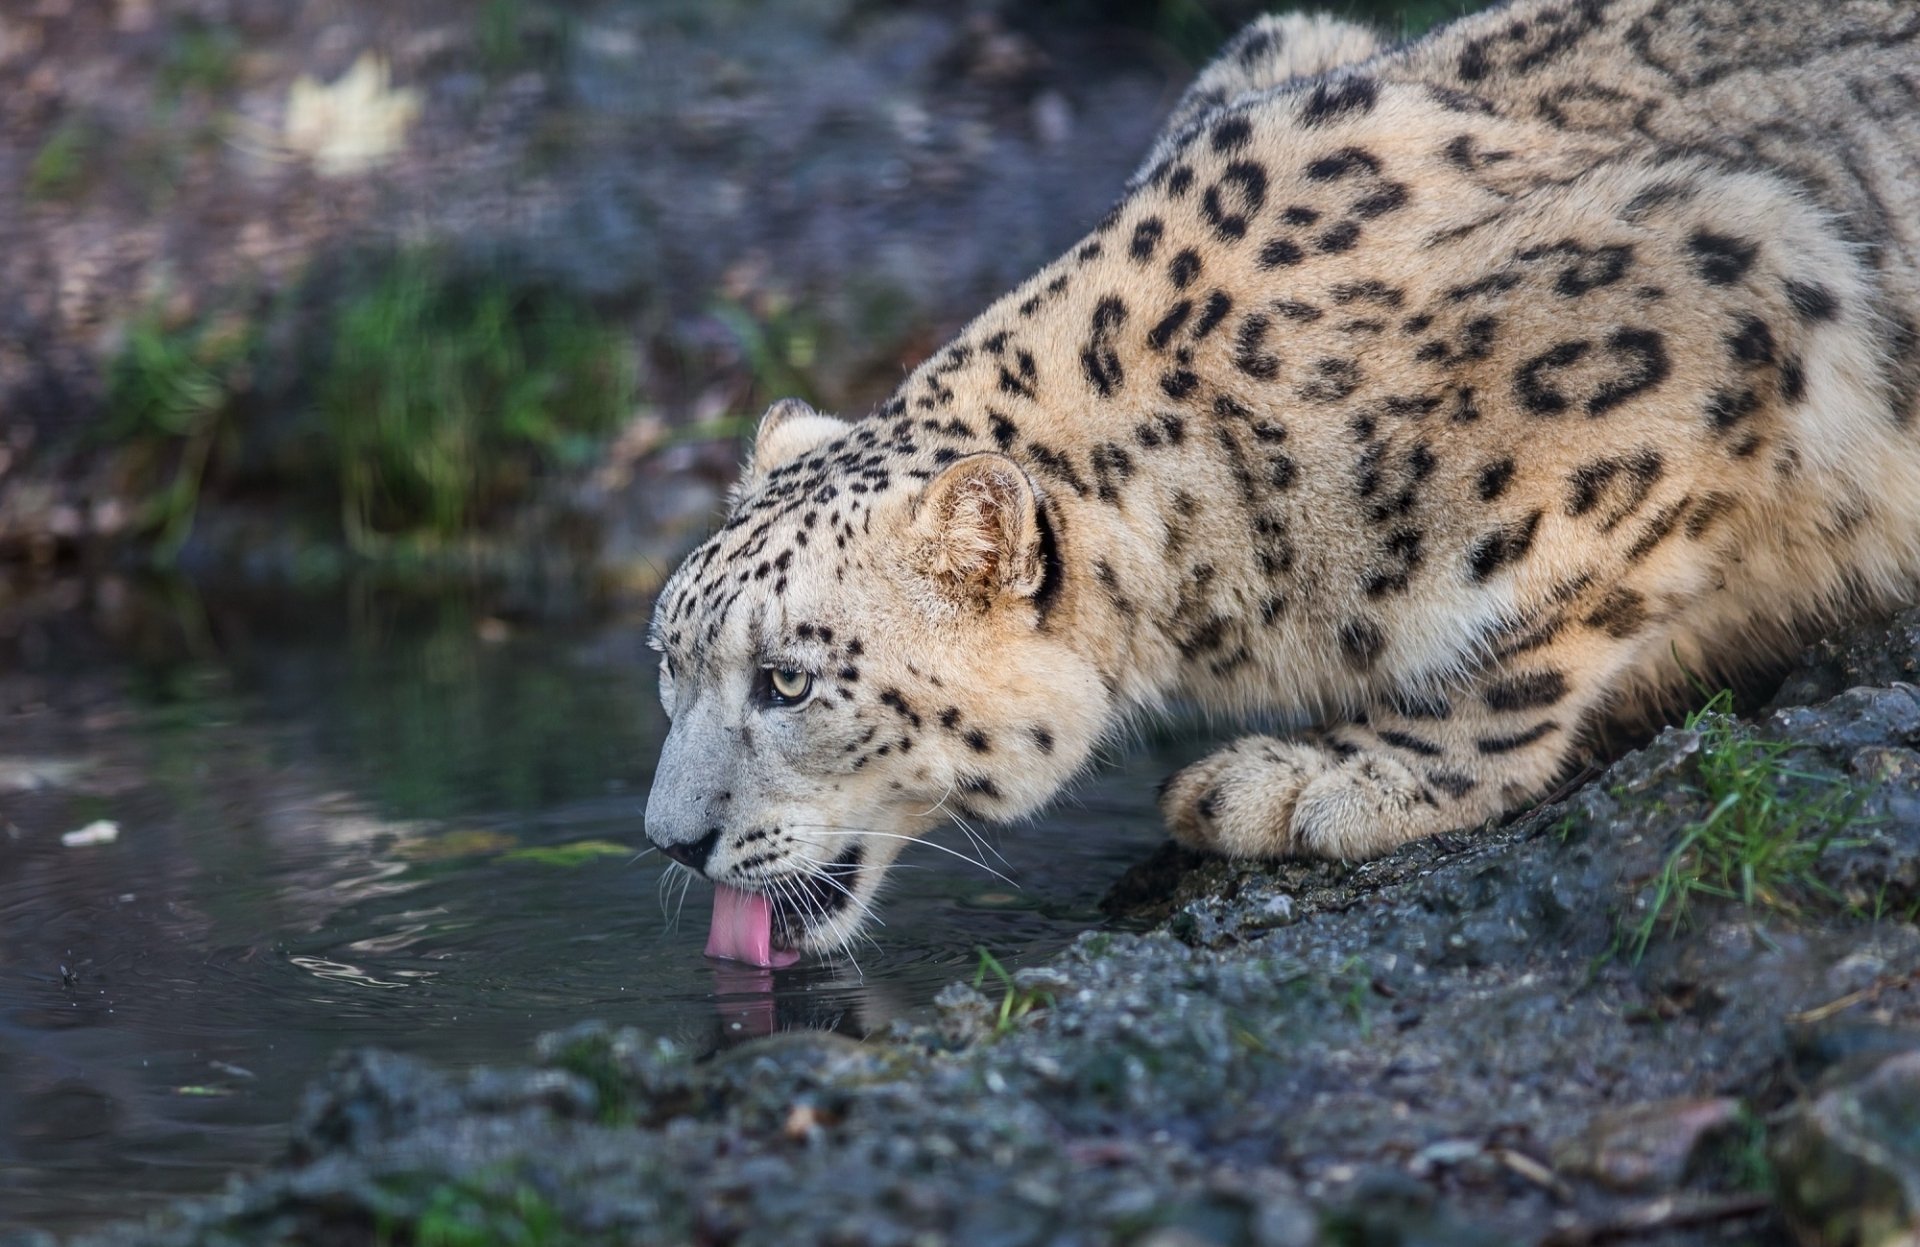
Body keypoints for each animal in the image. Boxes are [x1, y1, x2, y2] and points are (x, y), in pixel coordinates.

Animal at [644, 0, 1920, 960]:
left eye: (789, 679)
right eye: (666, 657)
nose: (668, 839)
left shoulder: (1729, 280)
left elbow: (1536, 629)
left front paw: (1331, 779)